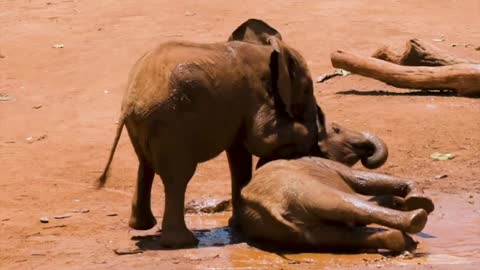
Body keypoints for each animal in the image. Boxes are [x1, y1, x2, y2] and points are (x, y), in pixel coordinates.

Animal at [240, 156, 436, 253]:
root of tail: (269, 203)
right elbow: (361, 180)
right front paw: (417, 200)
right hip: (300, 188)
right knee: (342, 203)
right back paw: (416, 220)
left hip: (271, 227)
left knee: (332, 235)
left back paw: (404, 241)